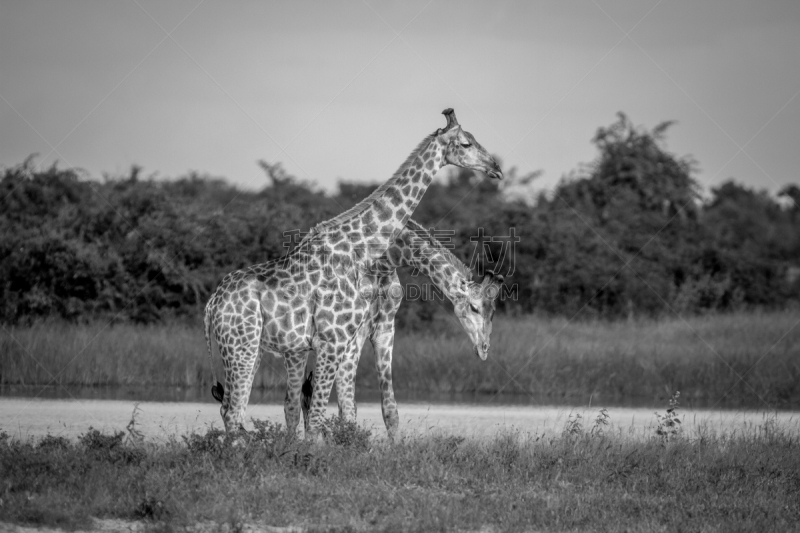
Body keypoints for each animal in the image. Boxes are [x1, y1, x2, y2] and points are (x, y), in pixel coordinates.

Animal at [304, 218, 504, 438]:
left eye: (493, 312)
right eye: (474, 308)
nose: (484, 349)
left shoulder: (384, 329)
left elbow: (390, 410)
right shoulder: (352, 335)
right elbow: (346, 404)